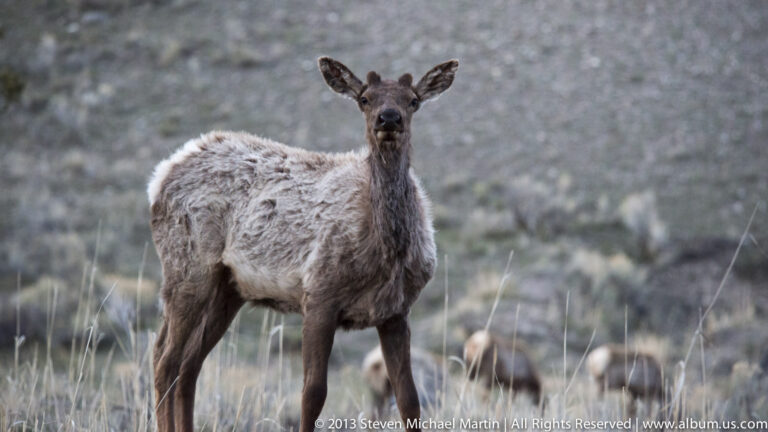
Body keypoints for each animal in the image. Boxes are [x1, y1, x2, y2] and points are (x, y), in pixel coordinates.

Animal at [147, 57, 458, 432]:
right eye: (364, 99)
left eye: (413, 101)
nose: (388, 118)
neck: (386, 251)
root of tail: (161, 175)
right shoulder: (319, 295)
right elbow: (312, 395)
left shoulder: (396, 311)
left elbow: (409, 399)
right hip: (187, 268)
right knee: (164, 359)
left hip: (228, 289)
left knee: (189, 366)